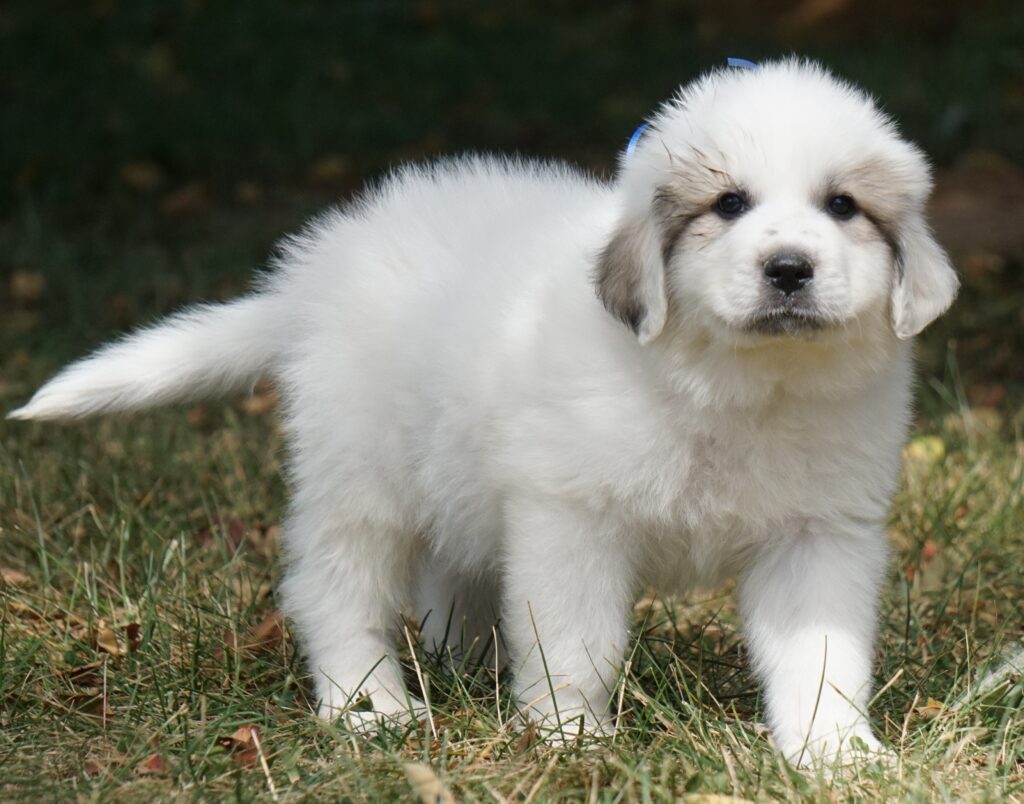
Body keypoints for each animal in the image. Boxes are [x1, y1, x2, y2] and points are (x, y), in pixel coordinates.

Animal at [12, 59, 958, 762]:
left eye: (843, 206)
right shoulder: (570, 517)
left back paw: (461, 665)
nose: (791, 268)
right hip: (362, 474)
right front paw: (572, 737)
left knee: (450, 571)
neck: (737, 383)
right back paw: (371, 706)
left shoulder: (819, 535)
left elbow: (820, 654)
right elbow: (577, 640)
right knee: (335, 589)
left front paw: (837, 753)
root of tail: (309, 278)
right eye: (729, 205)